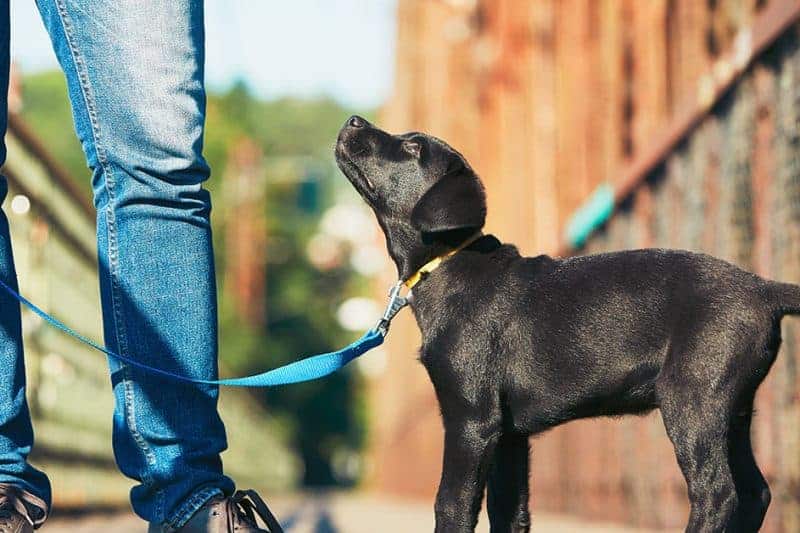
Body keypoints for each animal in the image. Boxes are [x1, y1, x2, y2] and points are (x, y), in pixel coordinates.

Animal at [334, 116, 796, 532]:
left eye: (413, 148)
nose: (353, 120)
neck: (447, 263)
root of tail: (763, 288)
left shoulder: (471, 419)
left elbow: (452, 504)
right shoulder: (509, 437)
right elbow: (509, 513)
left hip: (693, 398)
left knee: (717, 493)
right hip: (733, 409)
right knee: (755, 492)